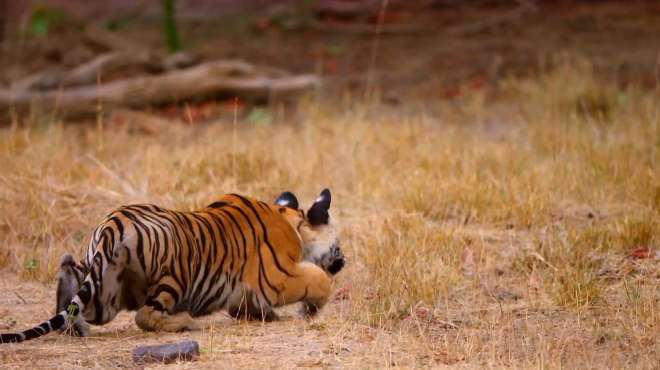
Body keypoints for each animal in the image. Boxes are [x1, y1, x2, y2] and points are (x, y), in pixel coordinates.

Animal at [0, 189, 342, 342]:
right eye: (338, 245)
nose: (342, 261)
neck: (292, 221)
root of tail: (111, 225)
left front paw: (269, 316)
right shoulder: (276, 278)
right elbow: (318, 280)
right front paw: (310, 310)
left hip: (104, 294)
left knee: (69, 273)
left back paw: (76, 326)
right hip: (175, 270)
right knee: (145, 315)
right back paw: (186, 322)